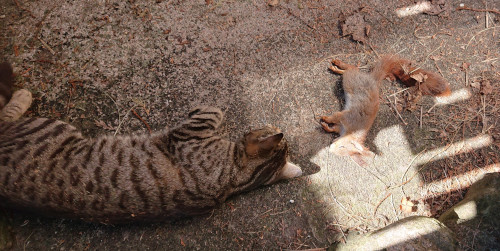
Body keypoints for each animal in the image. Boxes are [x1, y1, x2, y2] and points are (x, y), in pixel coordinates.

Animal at [0, 62, 300, 224]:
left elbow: (213, 110)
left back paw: (23, 95)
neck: (233, 177)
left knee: (4, 115)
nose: (277, 127)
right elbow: (216, 110)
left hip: (47, 126)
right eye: (272, 126)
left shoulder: (191, 131)